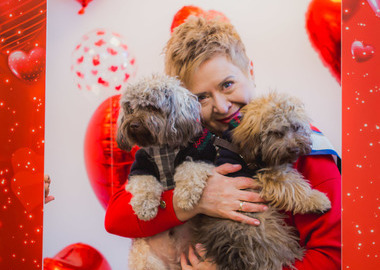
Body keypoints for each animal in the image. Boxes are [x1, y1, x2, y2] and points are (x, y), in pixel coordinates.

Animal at [116, 74, 215, 270]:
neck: (163, 149)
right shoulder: (141, 166)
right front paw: (145, 207)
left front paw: (186, 196)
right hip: (146, 260)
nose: (133, 124)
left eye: (152, 107)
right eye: (130, 108)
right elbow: (145, 183)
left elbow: (190, 171)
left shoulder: (200, 157)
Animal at [191, 92, 332, 268]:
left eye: (296, 127)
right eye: (276, 133)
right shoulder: (266, 175)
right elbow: (294, 188)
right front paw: (318, 200)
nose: (294, 149)